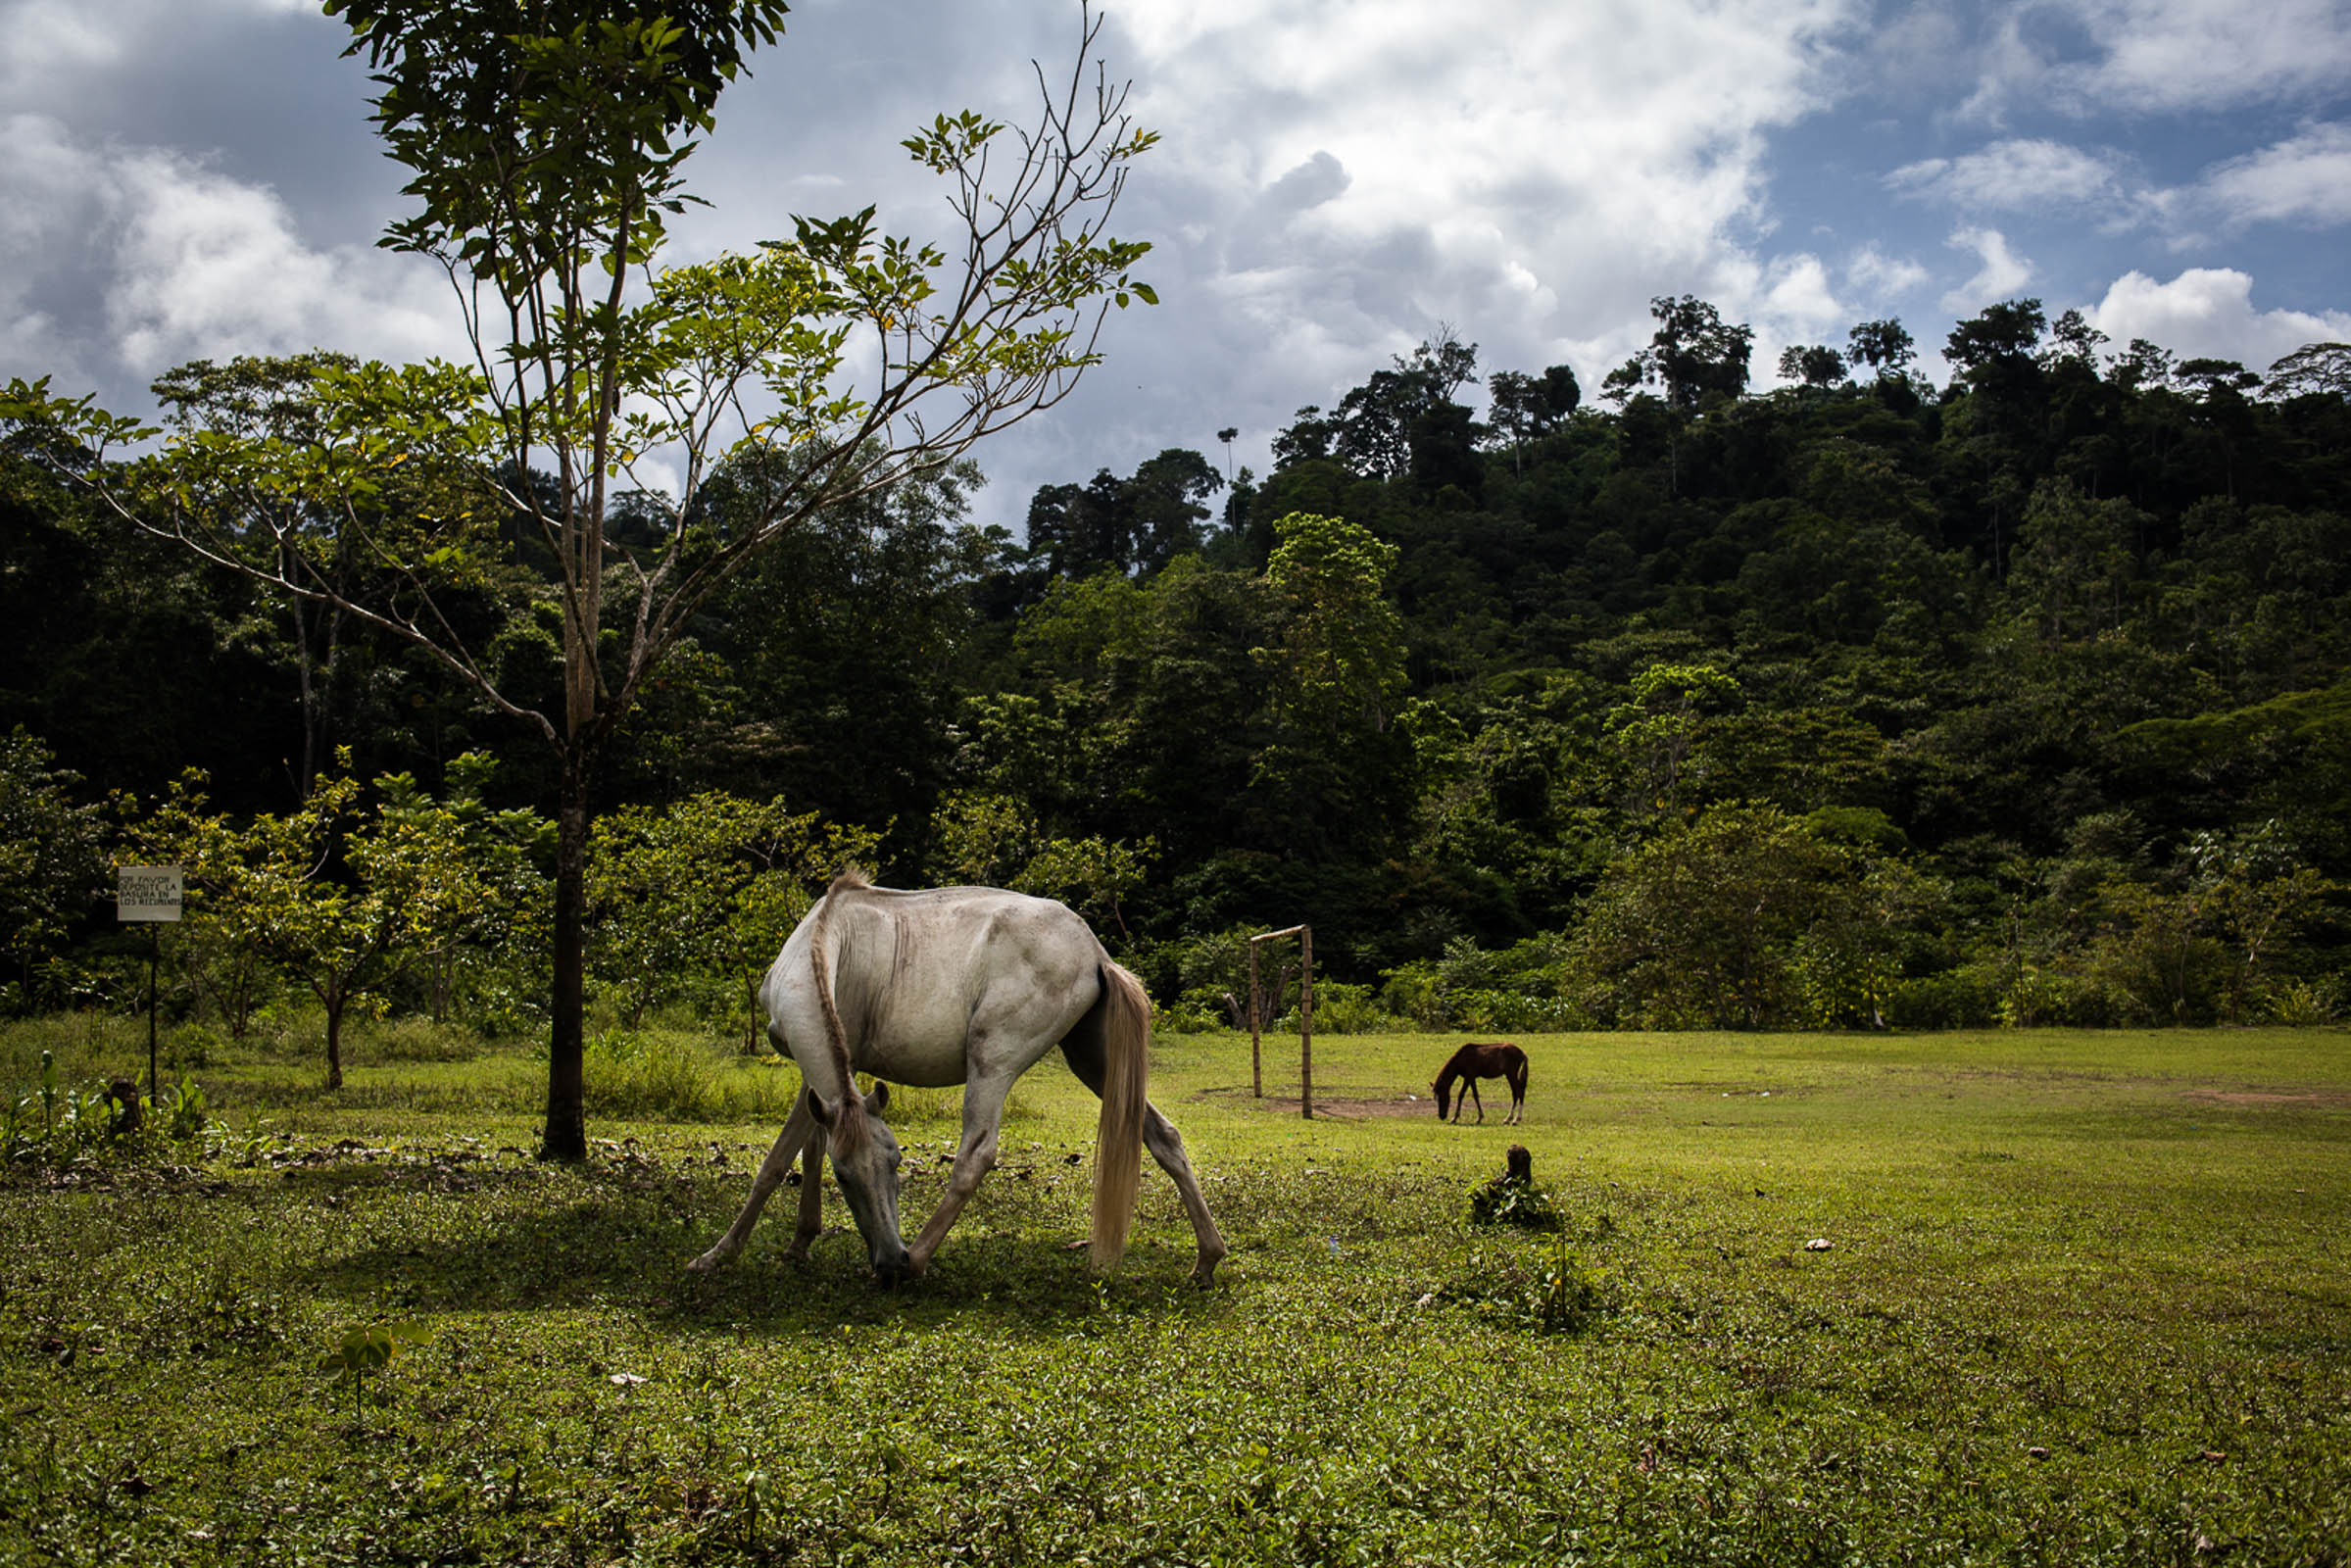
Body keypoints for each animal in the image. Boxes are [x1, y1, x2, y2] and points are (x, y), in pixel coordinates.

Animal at [686, 869, 1222, 1288]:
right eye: (848, 1176)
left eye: (896, 1164)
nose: (888, 1261)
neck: (827, 938)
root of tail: (1096, 953)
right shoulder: (827, 1083)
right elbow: (812, 1149)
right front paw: (800, 1242)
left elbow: (776, 1163)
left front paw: (718, 1255)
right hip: (1094, 1062)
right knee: (1163, 1136)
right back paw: (1208, 1259)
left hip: (992, 1061)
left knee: (975, 1155)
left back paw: (919, 1260)